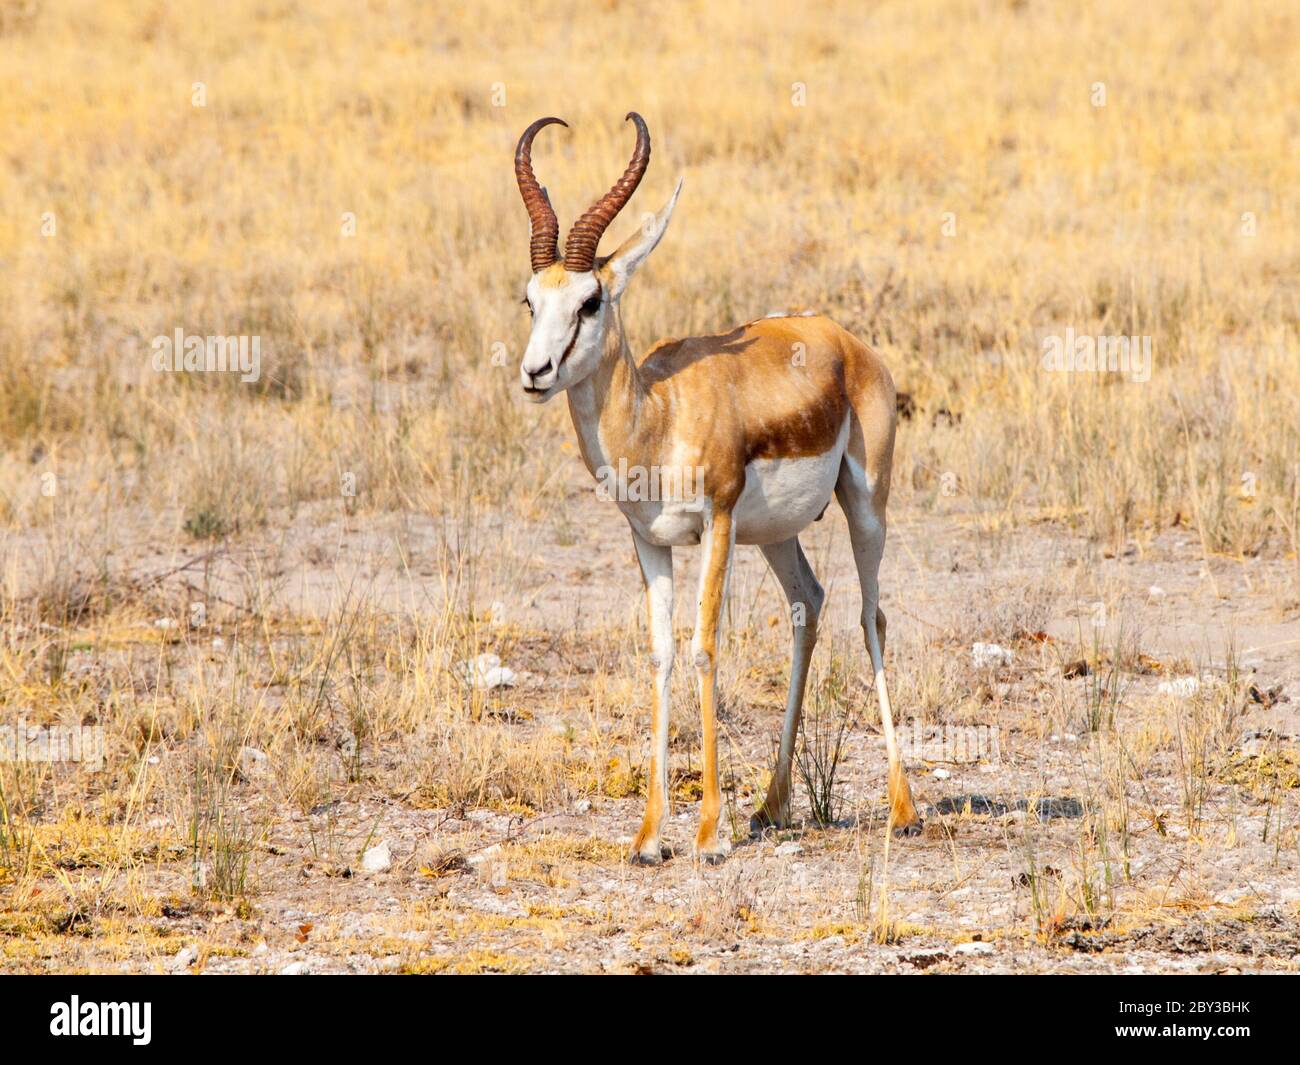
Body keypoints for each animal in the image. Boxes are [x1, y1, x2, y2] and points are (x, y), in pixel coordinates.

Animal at [512, 112, 920, 863]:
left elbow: (705, 646)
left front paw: (706, 832)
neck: (661, 417)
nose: (535, 372)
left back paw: (903, 808)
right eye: (530, 300)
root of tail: (843, 339)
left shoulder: (719, 522)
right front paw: (649, 835)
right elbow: (662, 652)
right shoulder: (649, 541)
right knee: (809, 603)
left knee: (870, 616)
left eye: (591, 300)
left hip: (866, 507)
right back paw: (772, 805)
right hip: (779, 535)